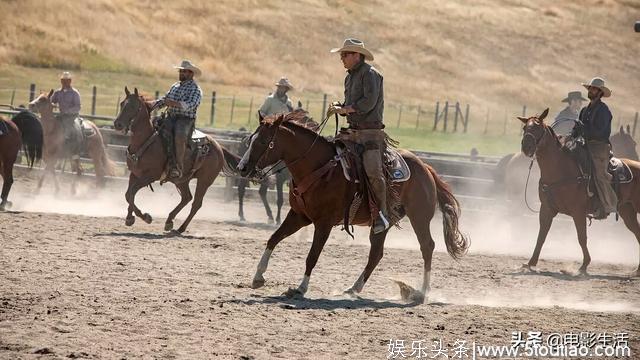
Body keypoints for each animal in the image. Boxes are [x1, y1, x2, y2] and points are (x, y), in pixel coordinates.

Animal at [112, 87, 238, 233]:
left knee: (196, 203)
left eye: (133, 106)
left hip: (205, 181)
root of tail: (218, 147)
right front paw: (129, 218)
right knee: (186, 197)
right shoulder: (134, 174)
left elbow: (131, 193)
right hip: (182, 180)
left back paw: (181, 228)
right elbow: (128, 195)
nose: (117, 124)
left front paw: (145, 217)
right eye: (122, 104)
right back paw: (169, 221)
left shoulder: (149, 176)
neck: (146, 141)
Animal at [238, 111, 468, 302]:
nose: (242, 168)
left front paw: (300, 288)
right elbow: (273, 238)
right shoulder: (299, 216)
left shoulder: (324, 223)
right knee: (376, 253)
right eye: (250, 139)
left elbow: (312, 256)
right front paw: (258, 276)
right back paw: (354, 288)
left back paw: (422, 292)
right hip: (384, 222)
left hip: (419, 216)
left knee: (427, 246)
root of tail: (426, 167)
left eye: (264, 141)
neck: (318, 168)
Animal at [520, 107, 640, 276]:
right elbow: (541, 236)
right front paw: (530, 263)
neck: (561, 169)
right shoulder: (547, 209)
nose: (526, 147)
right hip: (627, 211)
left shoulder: (578, 211)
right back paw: (637, 270)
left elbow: (581, 237)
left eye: (538, 128)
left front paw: (583, 266)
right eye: (525, 128)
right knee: (638, 233)